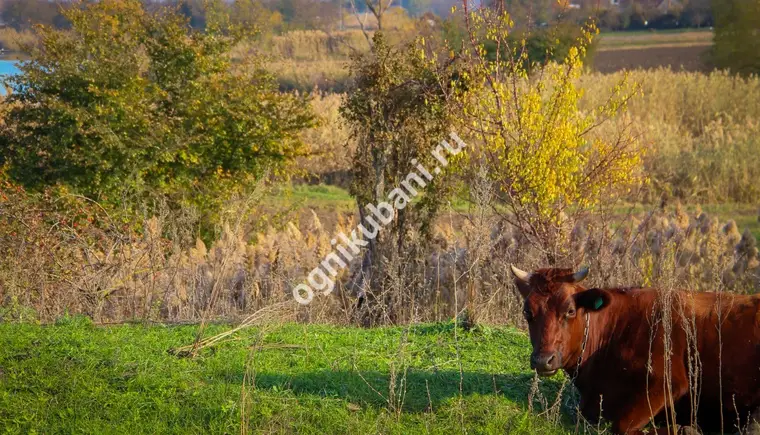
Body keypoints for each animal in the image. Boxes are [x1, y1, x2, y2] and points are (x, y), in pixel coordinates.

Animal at [510, 266, 760, 435]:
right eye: (527, 312)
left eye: (570, 310)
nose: (543, 360)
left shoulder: (666, 382)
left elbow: (622, 426)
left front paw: (684, 429)